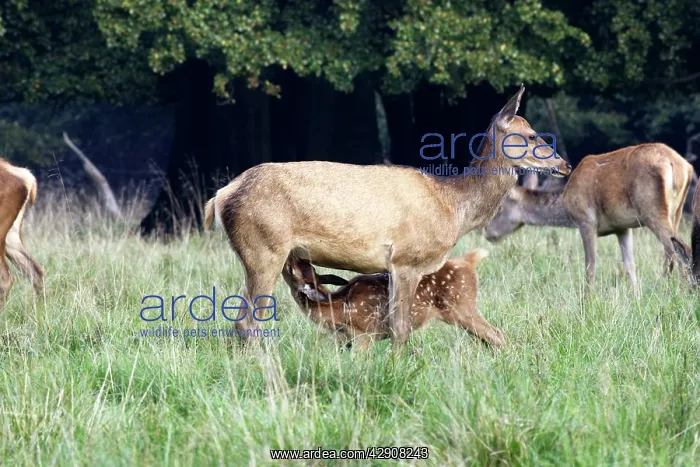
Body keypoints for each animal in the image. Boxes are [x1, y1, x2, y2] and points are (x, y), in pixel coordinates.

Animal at [282, 249, 505, 349]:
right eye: (305, 264)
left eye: (291, 267)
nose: (291, 253)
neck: (337, 308)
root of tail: (469, 261)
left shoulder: (364, 333)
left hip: (462, 306)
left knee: (497, 334)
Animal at [485, 143, 695, 293]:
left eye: (499, 208)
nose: (487, 233)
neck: (566, 203)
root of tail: (683, 166)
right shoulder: (622, 228)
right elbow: (629, 266)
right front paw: (636, 298)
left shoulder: (586, 221)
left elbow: (590, 267)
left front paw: (588, 301)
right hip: (676, 212)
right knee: (672, 252)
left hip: (652, 210)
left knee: (680, 251)